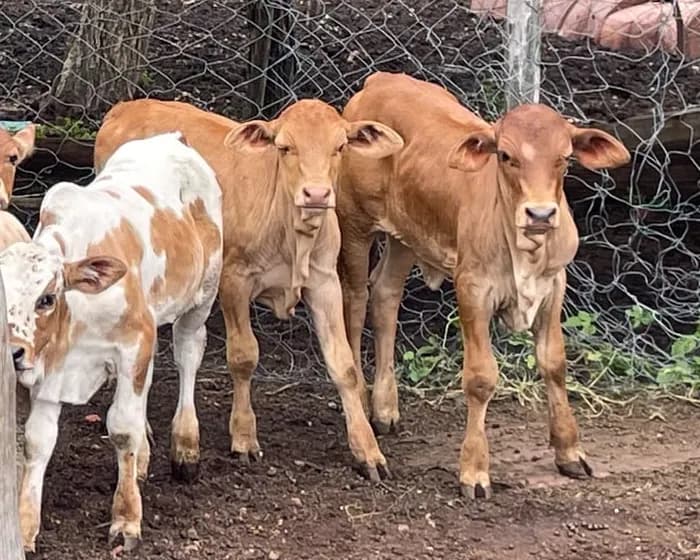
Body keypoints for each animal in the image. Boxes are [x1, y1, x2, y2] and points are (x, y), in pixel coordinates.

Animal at [0, 132, 223, 551]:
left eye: (47, 298)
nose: (13, 352)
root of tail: (171, 137)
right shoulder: (53, 368)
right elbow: (38, 440)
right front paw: (26, 526)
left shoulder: (133, 342)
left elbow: (122, 427)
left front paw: (126, 518)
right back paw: (145, 459)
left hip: (203, 293)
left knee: (188, 353)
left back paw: (185, 446)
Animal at [93, 98, 404, 481]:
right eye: (285, 147)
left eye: (340, 147)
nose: (316, 194)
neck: (289, 232)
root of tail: (127, 107)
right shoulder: (235, 281)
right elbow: (243, 357)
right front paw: (243, 436)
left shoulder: (325, 281)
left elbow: (342, 363)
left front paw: (367, 451)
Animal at [337, 72, 630, 498]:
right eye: (506, 156)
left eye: (564, 157)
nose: (540, 213)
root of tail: (380, 81)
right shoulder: (472, 289)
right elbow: (480, 378)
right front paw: (474, 469)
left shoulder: (554, 286)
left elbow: (554, 364)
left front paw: (569, 450)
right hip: (355, 228)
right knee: (355, 303)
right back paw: (361, 398)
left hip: (407, 236)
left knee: (386, 295)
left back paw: (386, 408)